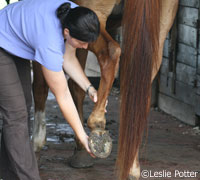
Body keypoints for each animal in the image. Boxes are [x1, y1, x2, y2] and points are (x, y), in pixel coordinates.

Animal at [32, 0, 179, 179]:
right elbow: (77, 86)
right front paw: (80, 150)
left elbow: (40, 87)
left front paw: (36, 144)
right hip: (163, 20)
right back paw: (132, 167)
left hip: (93, 16)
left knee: (111, 51)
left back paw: (97, 123)